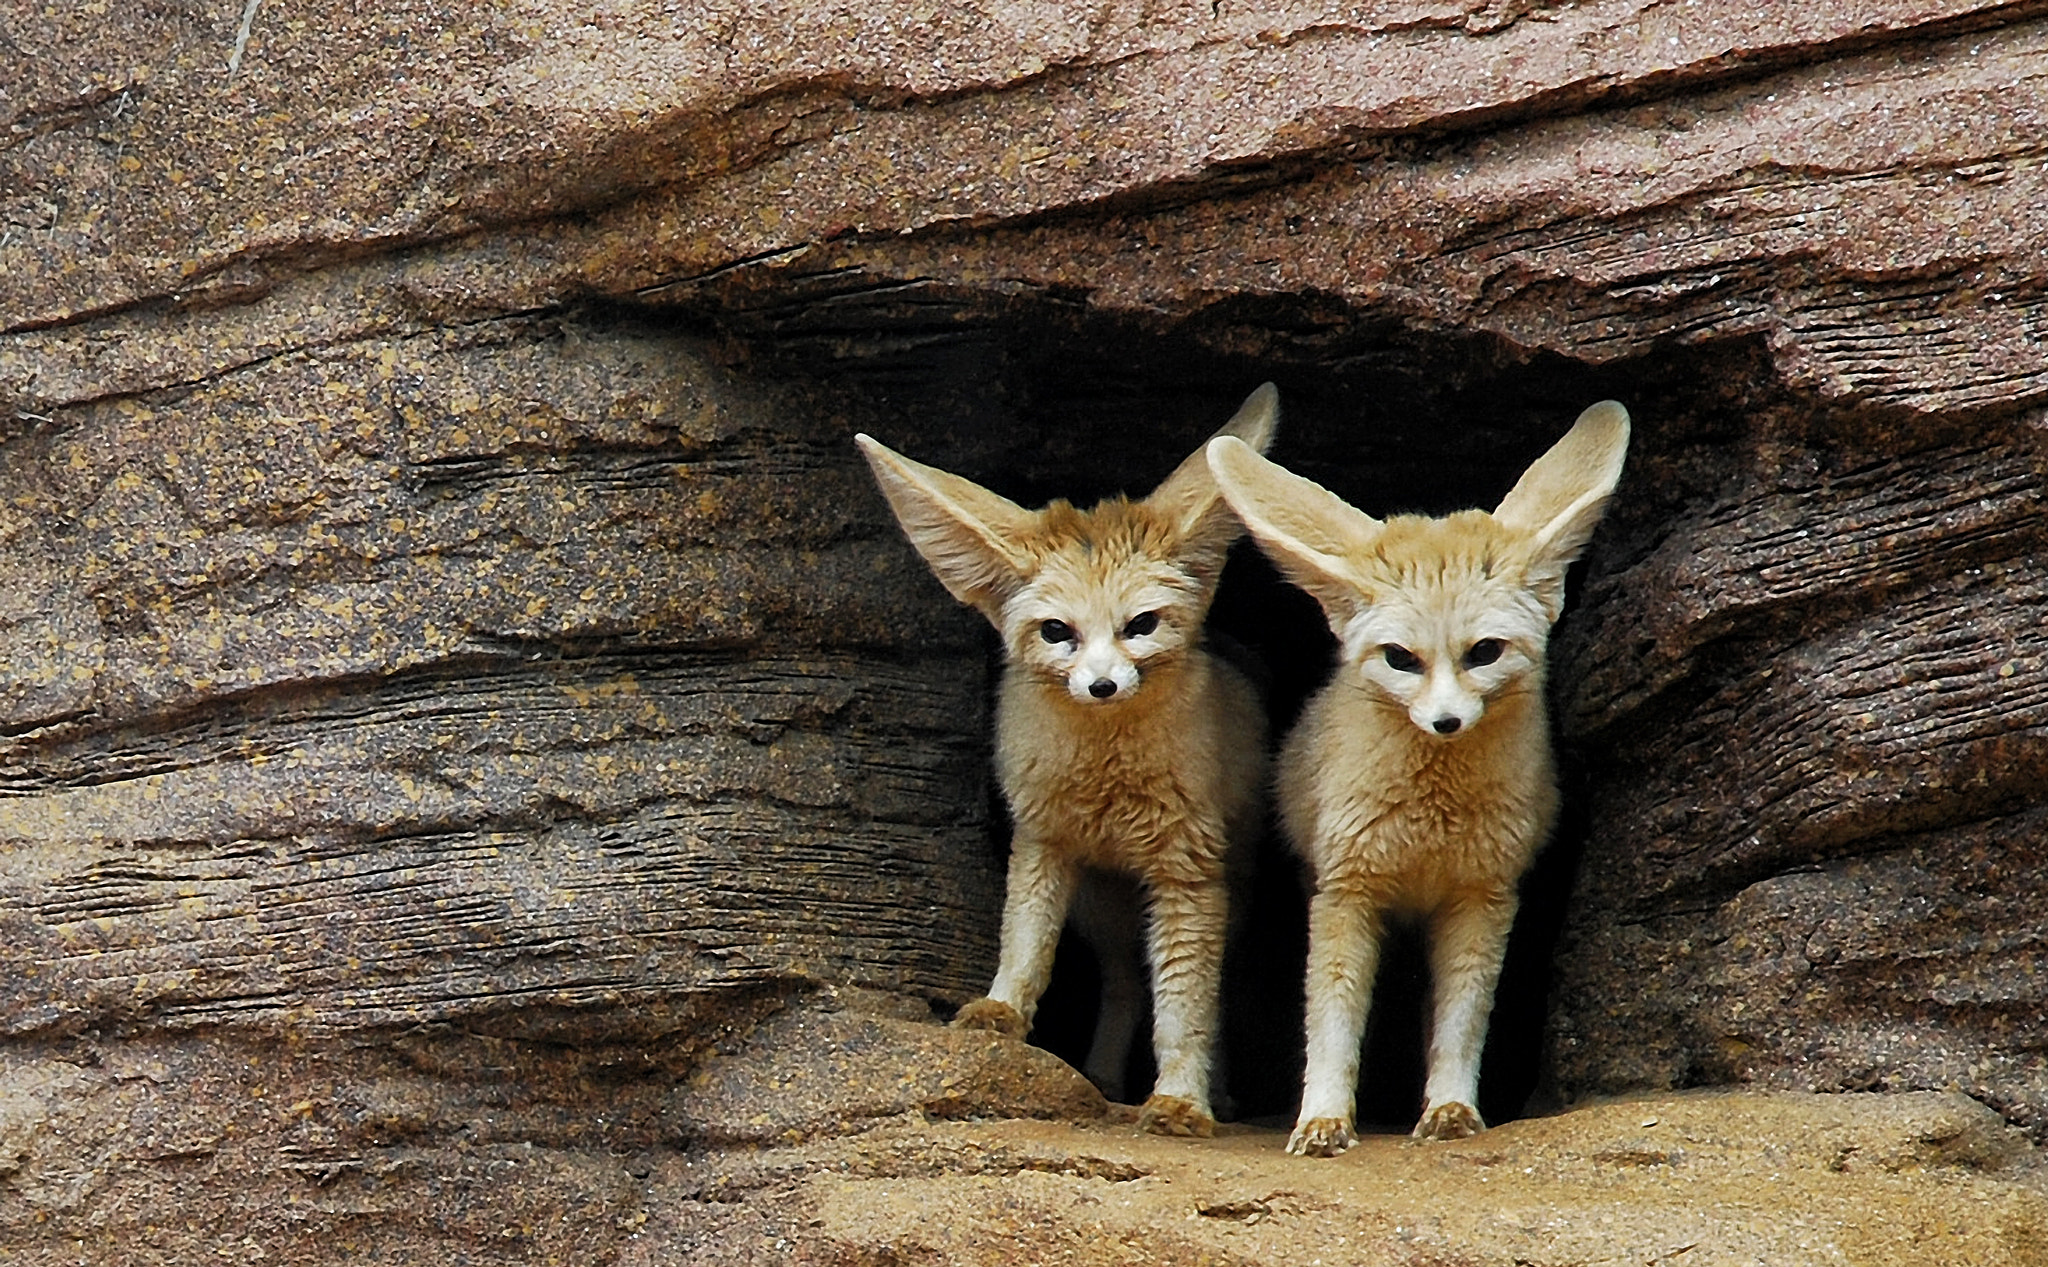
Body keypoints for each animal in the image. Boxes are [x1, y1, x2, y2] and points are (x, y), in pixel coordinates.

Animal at [853, 383, 1279, 1138]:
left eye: (1141, 625)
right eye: (1058, 632)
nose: (1102, 685)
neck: (1105, 777)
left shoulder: (1187, 873)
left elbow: (1187, 1007)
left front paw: (1181, 1099)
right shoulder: (1042, 842)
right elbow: (1025, 946)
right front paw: (999, 1012)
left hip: (1225, 893)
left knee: (1206, 986)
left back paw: (1216, 1092)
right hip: (1103, 906)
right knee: (1123, 979)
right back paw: (1103, 1074)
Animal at [1205, 399, 1630, 1157]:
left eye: (1484, 652)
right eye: (1401, 659)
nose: (1445, 721)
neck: (1433, 818)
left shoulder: (1482, 899)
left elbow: (1462, 1022)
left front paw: (1452, 1107)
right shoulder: (1346, 893)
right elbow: (1332, 1021)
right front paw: (1322, 1117)